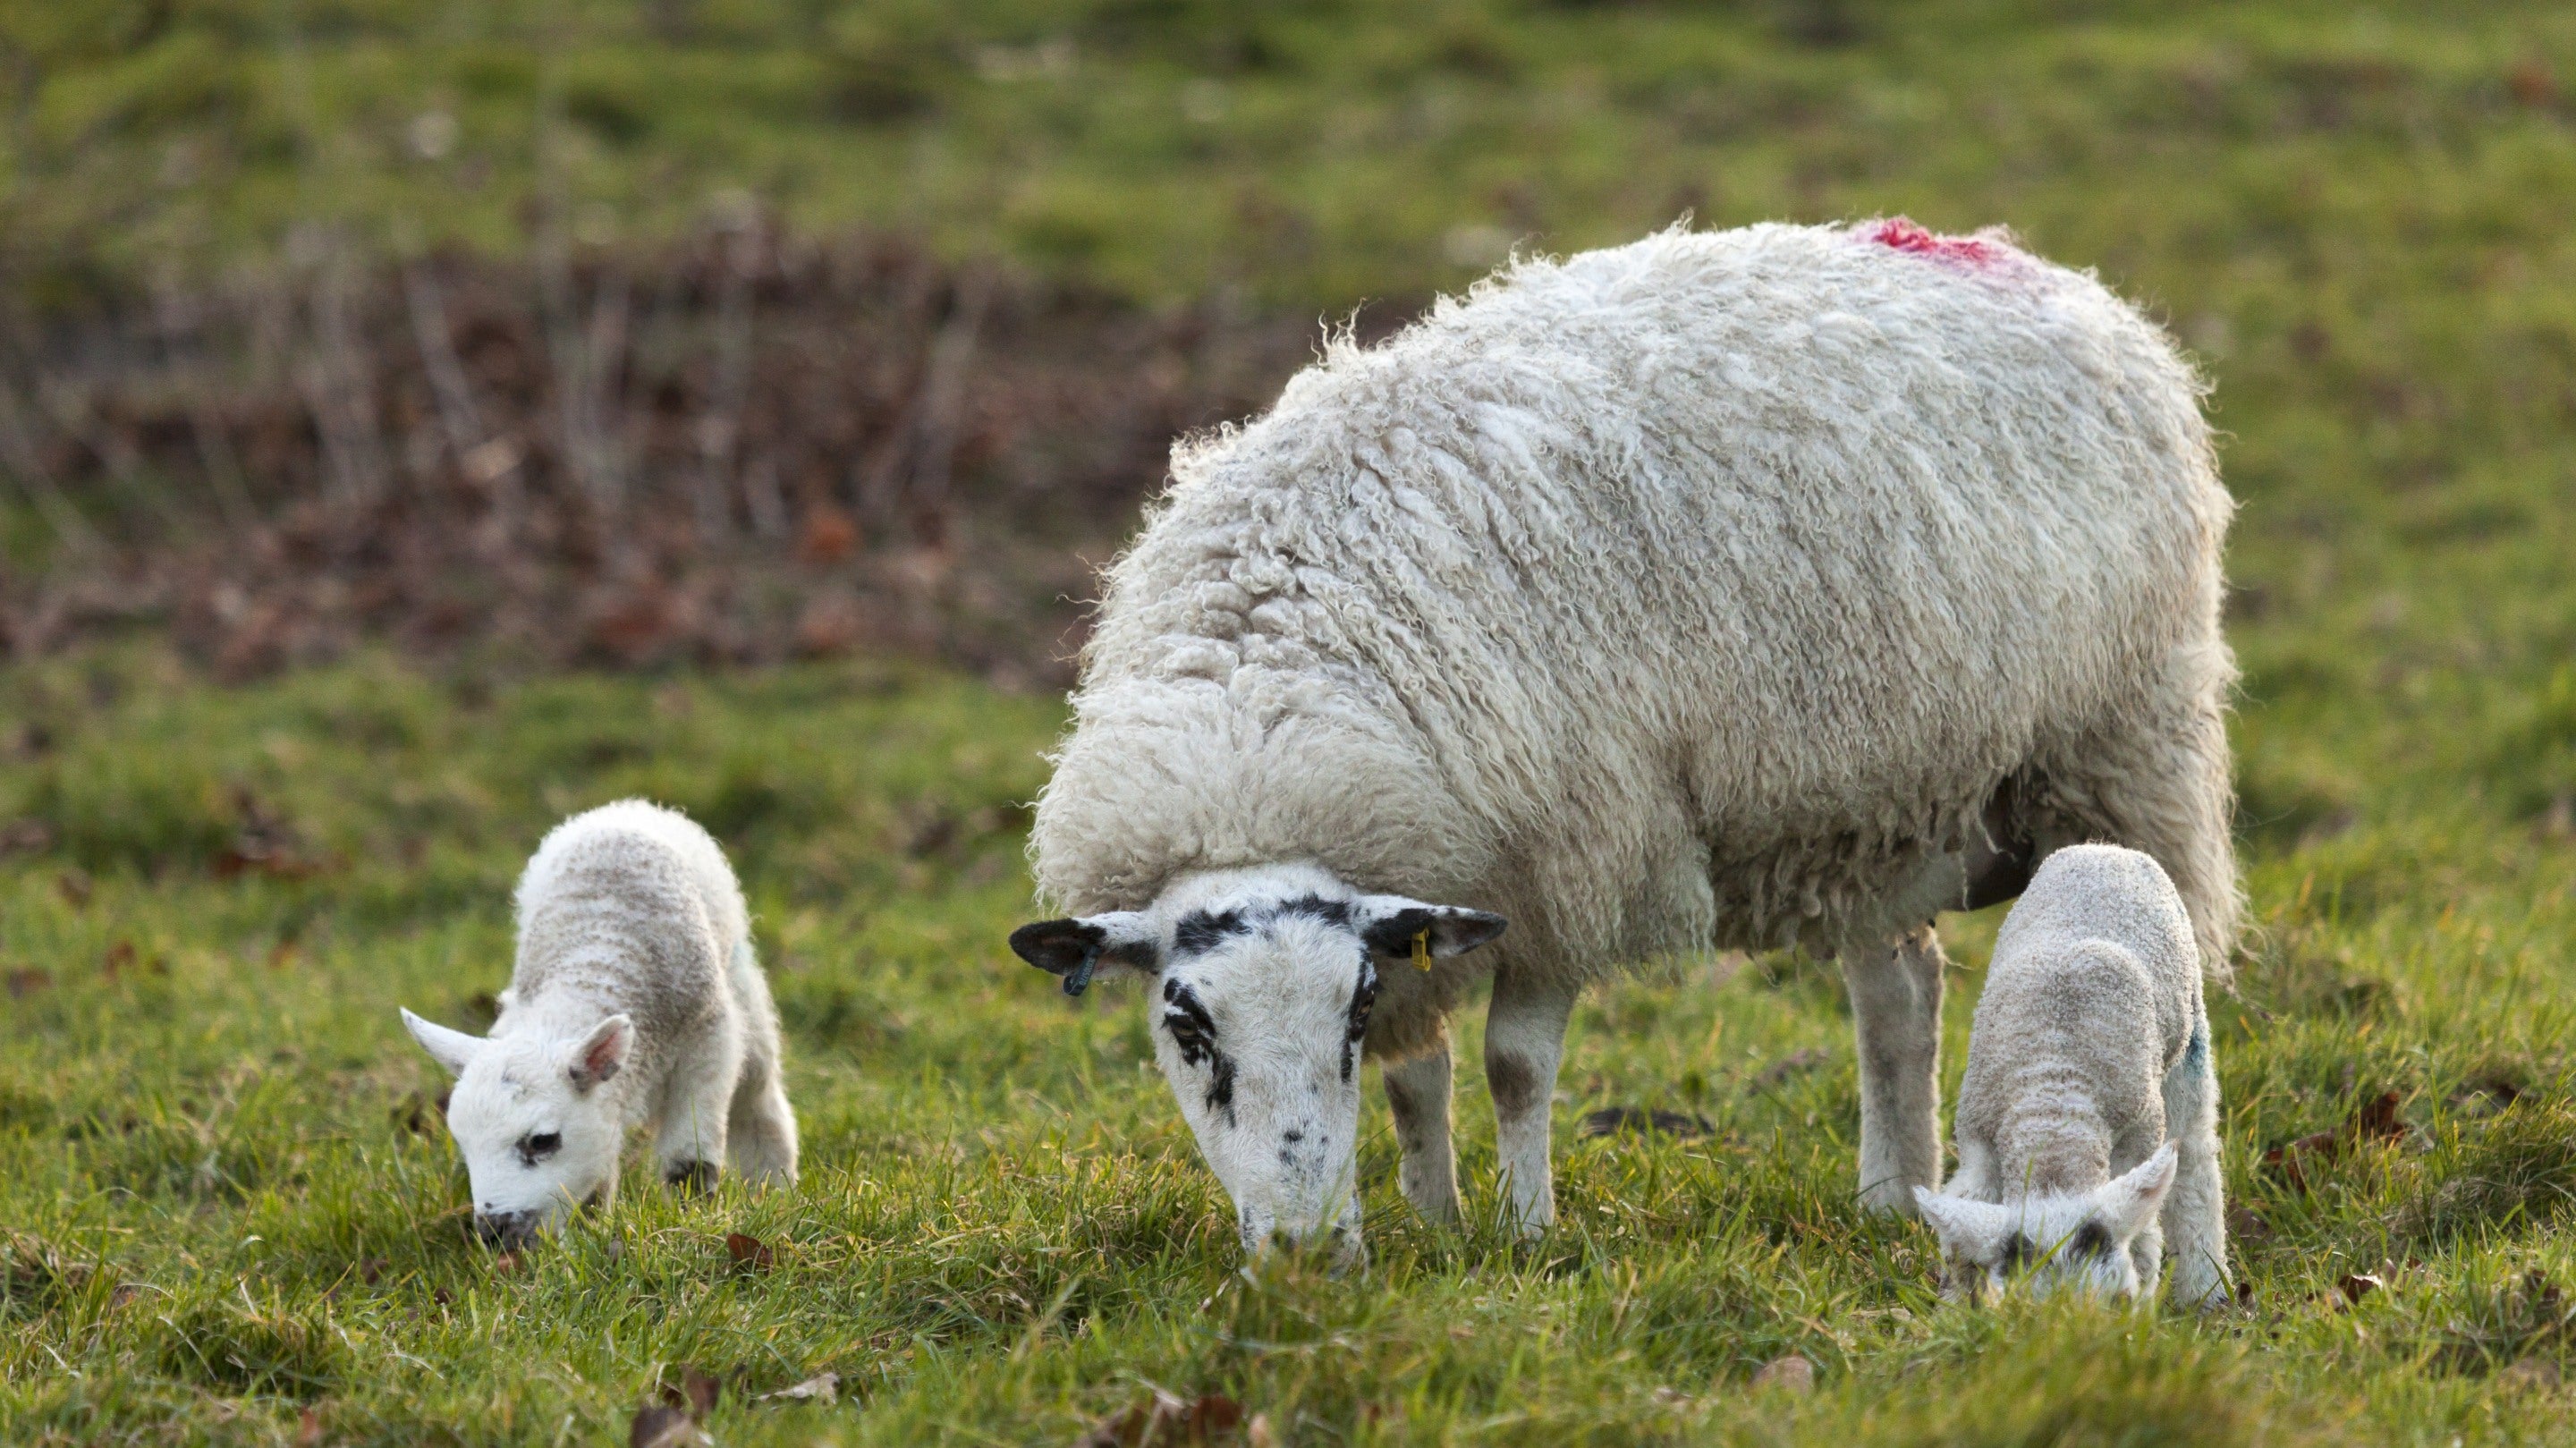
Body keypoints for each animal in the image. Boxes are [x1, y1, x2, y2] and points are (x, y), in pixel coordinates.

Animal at [401, 800, 797, 1245]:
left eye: (542, 1141)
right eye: (463, 1143)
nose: (495, 1233)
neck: (589, 970)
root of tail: (628, 807)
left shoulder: (709, 1038)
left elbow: (690, 1159)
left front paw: (692, 1218)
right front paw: (589, 1234)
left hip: (741, 984)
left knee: (757, 1094)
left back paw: (774, 1189)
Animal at [1913, 843, 2229, 1307]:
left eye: (2120, 1301)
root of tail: (2106, 848)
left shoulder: (2140, 1129)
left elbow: (2144, 1245)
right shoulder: (1976, 1132)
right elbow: (1961, 1228)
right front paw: (1954, 1310)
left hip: (2188, 1036)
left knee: (2194, 1156)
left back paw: (2207, 1293)